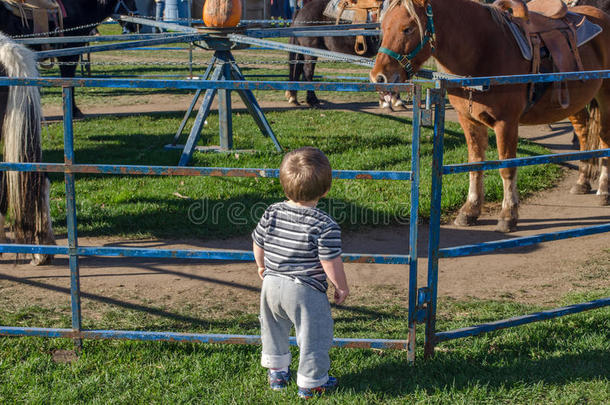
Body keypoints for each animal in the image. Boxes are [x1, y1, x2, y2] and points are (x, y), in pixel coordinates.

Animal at [368, 0, 604, 232]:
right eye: (383, 27)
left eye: (407, 29)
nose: (379, 77)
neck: (482, 50)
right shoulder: (468, 121)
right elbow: (475, 164)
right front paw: (470, 210)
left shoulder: (506, 123)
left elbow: (506, 168)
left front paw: (508, 214)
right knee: (585, 134)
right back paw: (583, 182)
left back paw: (604, 188)